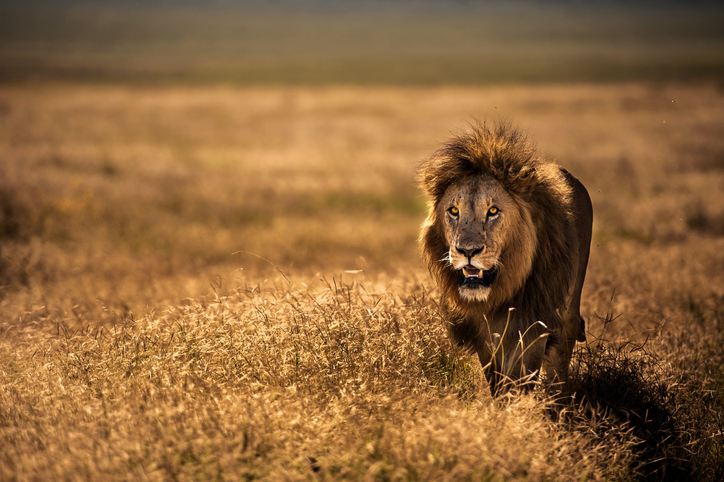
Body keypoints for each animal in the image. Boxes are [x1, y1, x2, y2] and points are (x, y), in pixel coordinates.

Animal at [419, 123, 592, 395]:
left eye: (493, 211)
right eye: (454, 211)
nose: (468, 251)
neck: (498, 294)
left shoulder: (532, 325)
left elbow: (518, 379)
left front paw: (516, 405)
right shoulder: (481, 333)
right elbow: (496, 379)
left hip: (568, 309)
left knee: (560, 359)